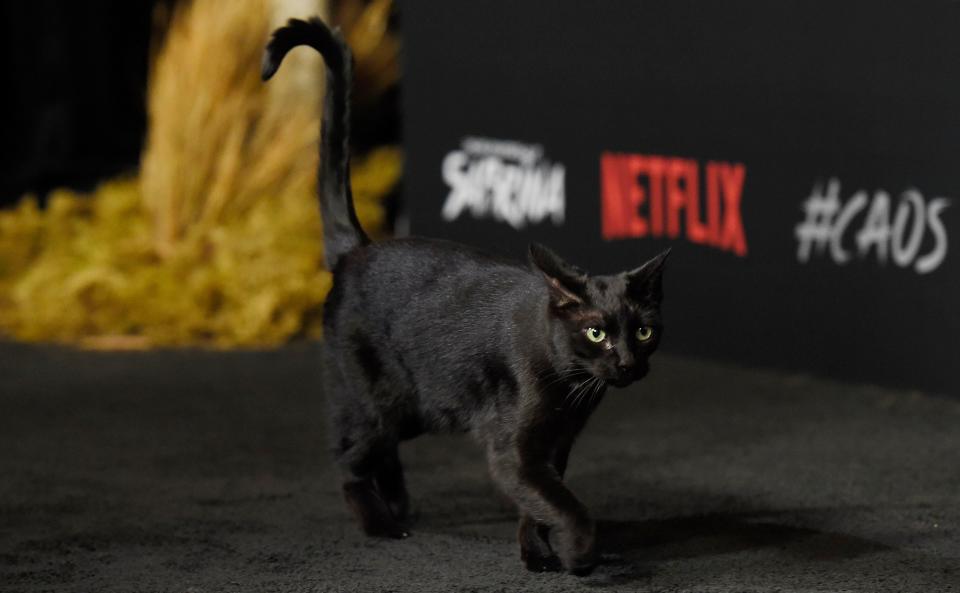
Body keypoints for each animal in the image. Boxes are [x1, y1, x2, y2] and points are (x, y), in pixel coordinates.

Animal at [262, 17, 668, 572]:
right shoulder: (514, 449)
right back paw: (383, 525)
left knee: (382, 455)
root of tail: (357, 249)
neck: (570, 385)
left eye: (644, 332)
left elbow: (539, 504)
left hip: (415, 410)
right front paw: (579, 553)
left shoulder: (556, 445)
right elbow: (563, 504)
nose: (627, 362)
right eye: (596, 333)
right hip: (376, 399)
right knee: (349, 459)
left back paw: (400, 506)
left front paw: (536, 554)